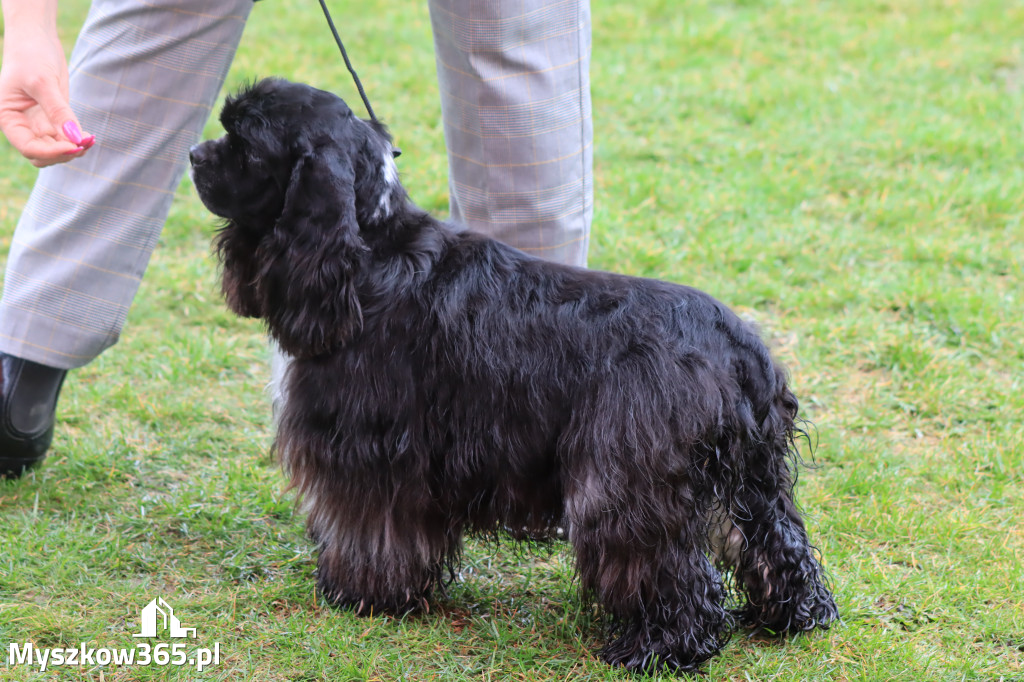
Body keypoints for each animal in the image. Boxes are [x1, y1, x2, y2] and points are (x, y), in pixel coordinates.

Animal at [188, 76, 835, 667]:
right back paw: (792, 617)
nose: (193, 154)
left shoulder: (368, 453)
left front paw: (361, 596)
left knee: (675, 576)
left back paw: (654, 649)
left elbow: (370, 534)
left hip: (625, 482)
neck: (369, 253)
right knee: (777, 545)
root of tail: (738, 347)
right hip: (753, 477)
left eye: (244, 143)